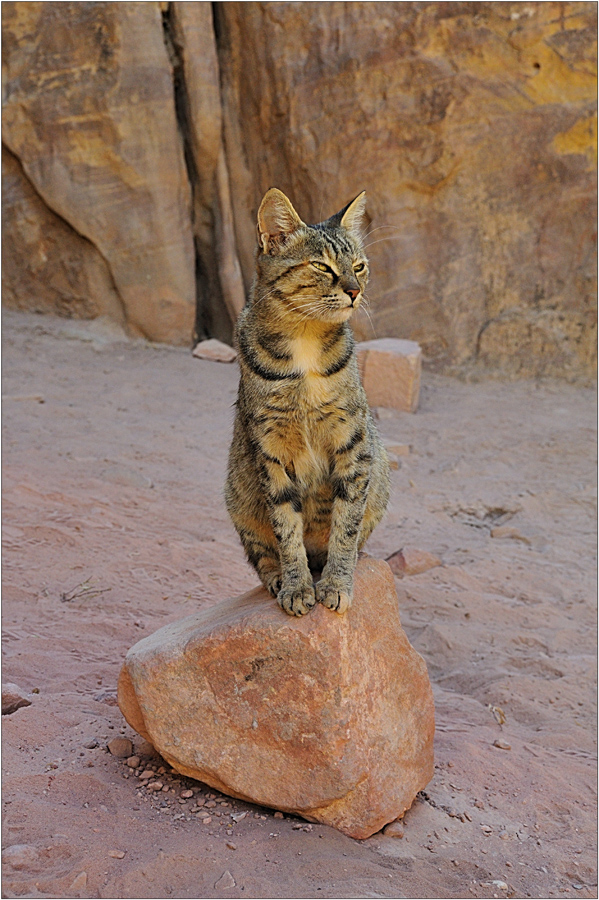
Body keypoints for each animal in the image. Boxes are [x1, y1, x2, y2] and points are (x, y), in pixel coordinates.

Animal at [224, 186, 390, 616]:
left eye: (359, 266)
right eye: (322, 266)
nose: (355, 291)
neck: (305, 341)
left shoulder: (354, 445)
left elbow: (346, 525)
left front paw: (336, 583)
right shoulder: (270, 451)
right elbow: (286, 529)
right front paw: (297, 587)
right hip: (237, 491)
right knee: (261, 553)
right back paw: (278, 578)